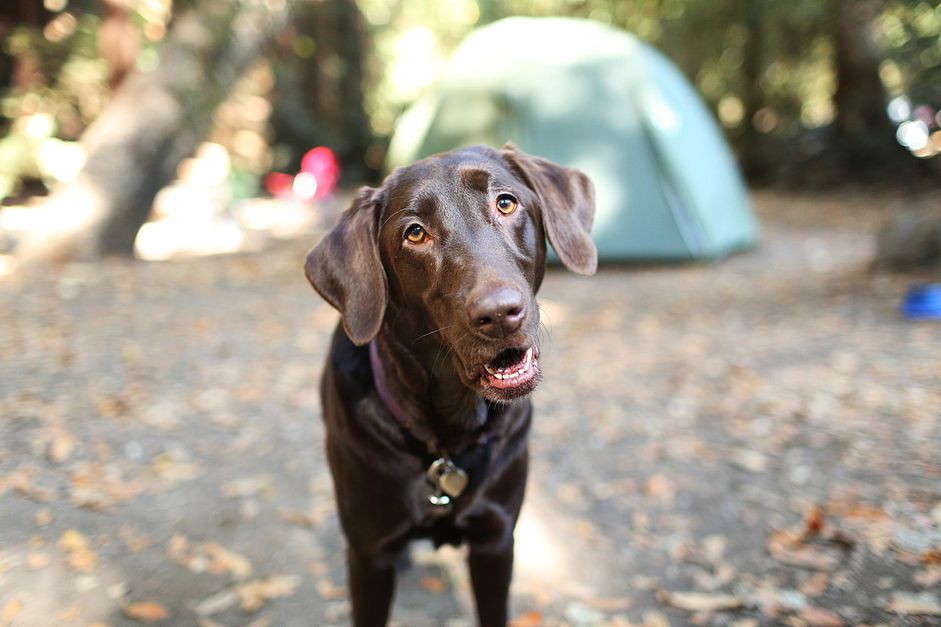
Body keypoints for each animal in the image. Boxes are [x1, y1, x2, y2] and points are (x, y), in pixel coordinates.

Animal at [306, 145, 596, 624]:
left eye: (505, 203)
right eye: (415, 233)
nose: (499, 314)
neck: (447, 439)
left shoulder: (496, 543)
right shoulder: (368, 557)